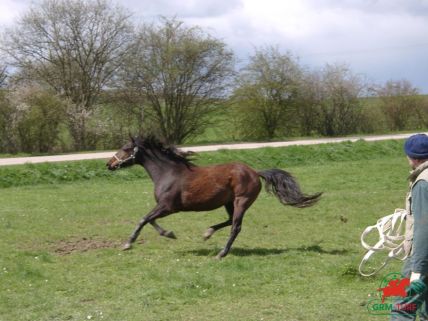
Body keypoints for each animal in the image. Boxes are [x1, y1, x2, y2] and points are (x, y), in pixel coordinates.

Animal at [107, 135, 320, 258]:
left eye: (125, 148)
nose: (108, 164)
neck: (168, 173)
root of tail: (254, 172)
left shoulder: (168, 207)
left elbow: (144, 219)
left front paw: (128, 243)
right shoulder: (165, 207)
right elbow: (149, 220)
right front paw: (169, 233)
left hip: (241, 201)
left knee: (236, 226)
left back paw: (221, 253)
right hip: (228, 202)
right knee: (229, 221)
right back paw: (207, 233)